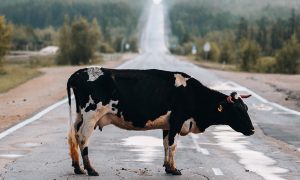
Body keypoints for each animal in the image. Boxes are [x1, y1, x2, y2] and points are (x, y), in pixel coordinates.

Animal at [67, 66, 254, 176]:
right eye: (237, 110)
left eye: (246, 108)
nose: (252, 130)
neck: (193, 94)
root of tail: (79, 72)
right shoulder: (178, 120)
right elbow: (173, 145)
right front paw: (174, 169)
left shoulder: (168, 124)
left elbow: (165, 144)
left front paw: (167, 166)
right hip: (91, 115)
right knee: (83, 139)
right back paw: (90, 169)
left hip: (79, 115)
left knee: (73, 136)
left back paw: (78, 167)